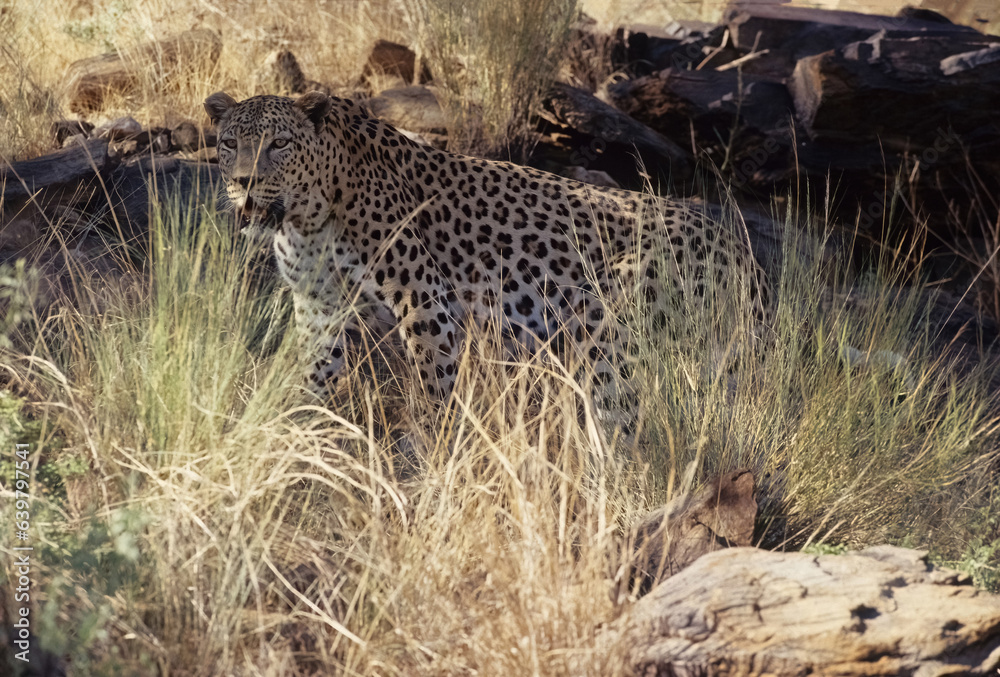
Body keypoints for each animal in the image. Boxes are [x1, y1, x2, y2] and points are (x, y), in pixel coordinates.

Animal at [203, 91, 772, 428]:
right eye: (229, 142)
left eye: (279, 143)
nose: (244, 183)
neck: (306, 219)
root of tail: (742, 250)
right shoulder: (319, 307)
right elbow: (310, 376)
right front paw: (290, 437)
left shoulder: (424, 301)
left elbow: (434, 387)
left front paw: (431, 454)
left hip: (612, 328)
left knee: (626, 420)